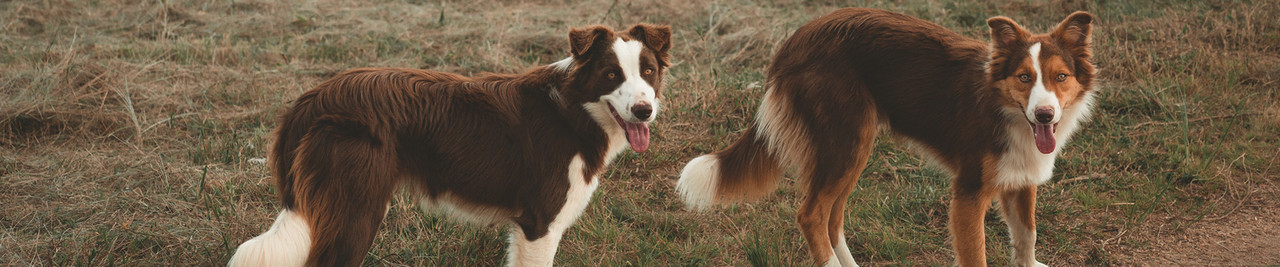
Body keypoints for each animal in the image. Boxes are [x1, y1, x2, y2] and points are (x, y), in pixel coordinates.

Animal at [229, 23, 670, 265]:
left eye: (648, 72)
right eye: (611, 75)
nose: (644, 110)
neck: (574, 110)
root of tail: (313, 98)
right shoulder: (540, 225)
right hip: (356, 210)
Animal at [675, 8, 1095, 267]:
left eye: (1060, 77)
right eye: (1024, 77)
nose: (1045, 114)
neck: (1004, 108)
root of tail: (797, 39)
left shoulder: (1022, 179)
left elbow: (1027, 235)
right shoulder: (969, 192)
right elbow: (977, 252)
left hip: (851, 147)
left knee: (832, 216)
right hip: (846, 140)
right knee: (812, 214)